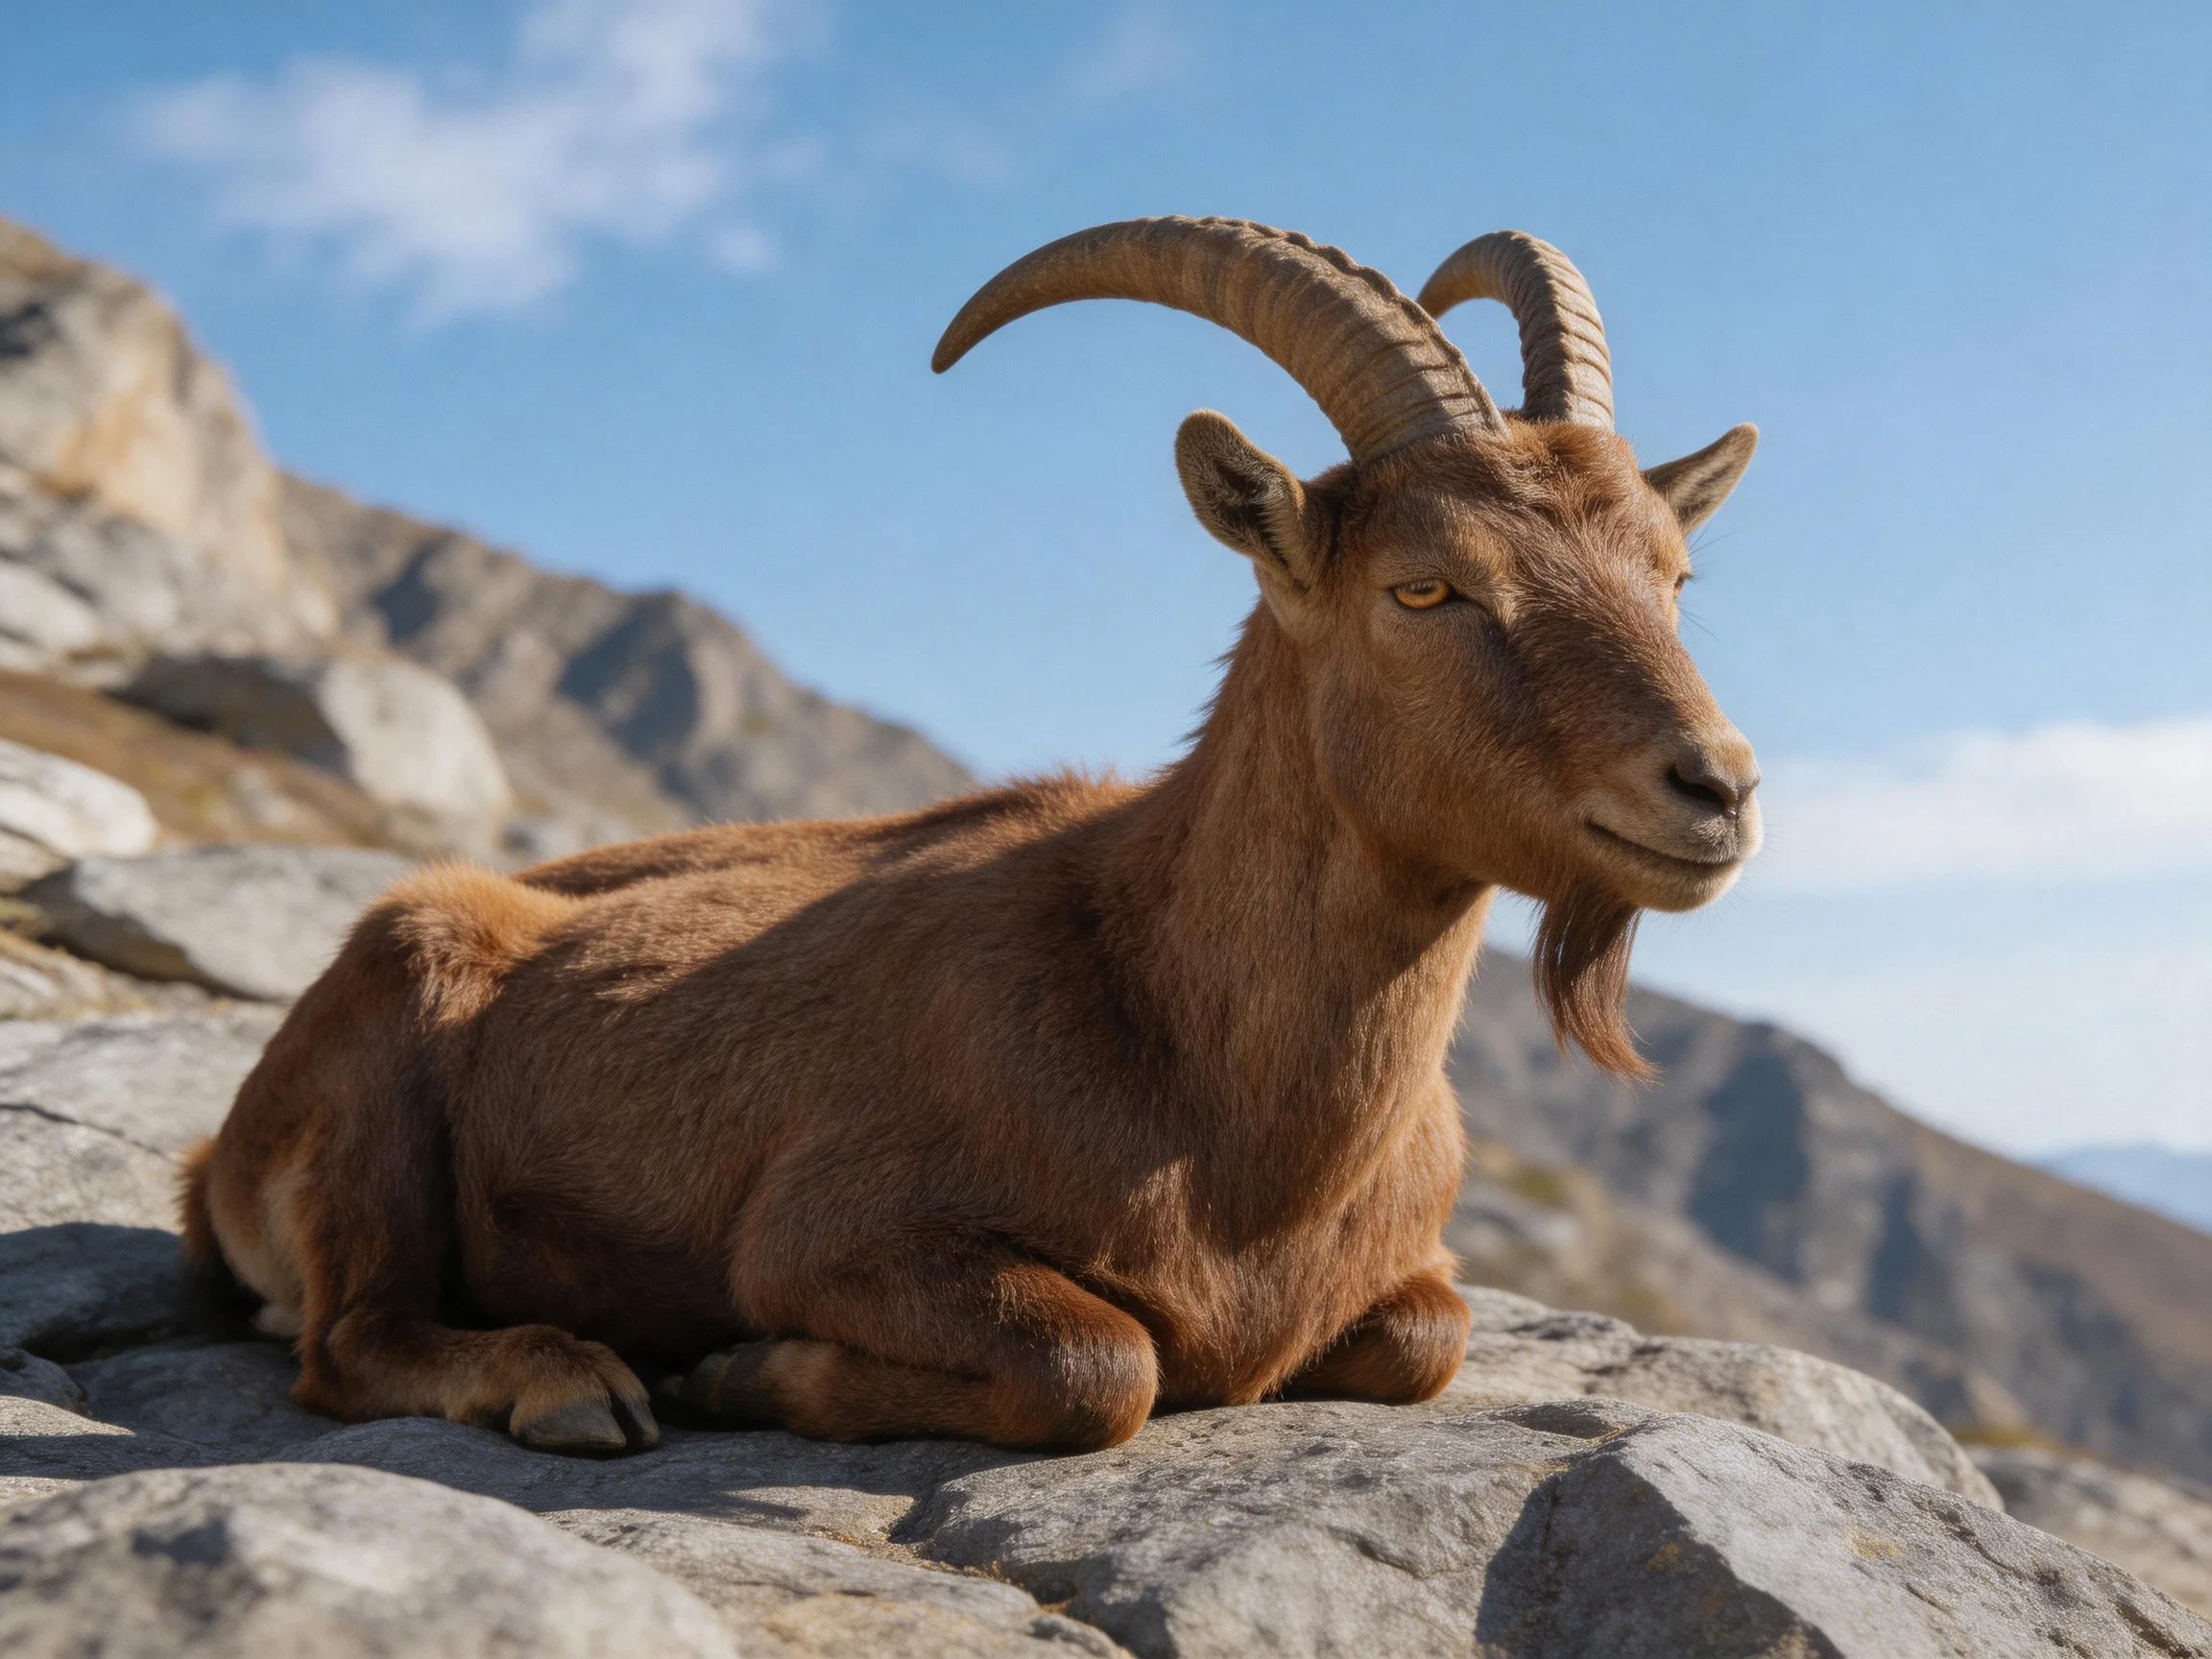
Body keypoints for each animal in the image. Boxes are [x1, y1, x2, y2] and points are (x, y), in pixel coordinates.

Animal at [182, 219, 1762, 1456]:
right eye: (1426, 587)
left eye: (1676, 575)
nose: (1718, 788)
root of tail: (215, 1165)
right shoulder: (836, 1232)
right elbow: (1102, 1364)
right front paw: (741, 1371)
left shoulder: (1410, 1274)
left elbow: (1427, 1339)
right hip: (392, 1034)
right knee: (349, 1341)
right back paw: (571, 1381)